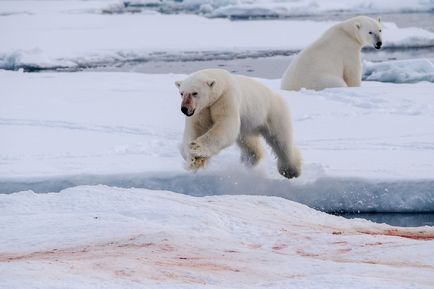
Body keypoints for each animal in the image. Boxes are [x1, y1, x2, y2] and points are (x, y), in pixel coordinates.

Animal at [174, 69, 302, 179]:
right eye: (182, 93)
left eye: (194, 93)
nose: (184, 109)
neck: (221, 84)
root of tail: (277, 96)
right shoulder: (201, 110)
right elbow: (195, 128)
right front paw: (193, 159)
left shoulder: (225, 99)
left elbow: (226, 125)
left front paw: (196, 147)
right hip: (248, 125)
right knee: (247, 142)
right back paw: (251, 159)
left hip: (272, 114)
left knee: (280, 141)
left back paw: (290, 171)